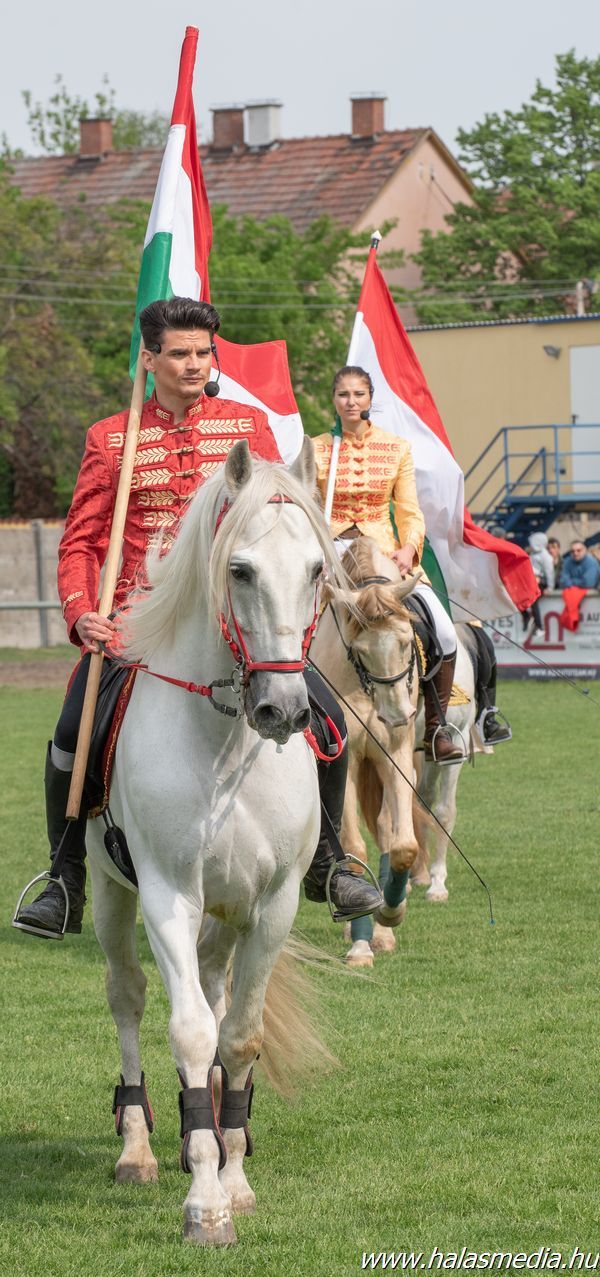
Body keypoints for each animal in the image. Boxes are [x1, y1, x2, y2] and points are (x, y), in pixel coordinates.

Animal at [84, 439, 343, 1246]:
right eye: (241, 569)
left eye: (317, 569)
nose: (283, 710)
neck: (225, 743)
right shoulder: (168, 895)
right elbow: (193, 1031)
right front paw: (204, 1204)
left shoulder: (272, 906)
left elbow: (240, 1036)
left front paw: (233, 1176)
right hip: (111, 894)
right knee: (129, 997)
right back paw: (138, 1146)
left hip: (224, 918)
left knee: (214, 989)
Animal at [310, 537, 477, 967]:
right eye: (359, 650)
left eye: (407, 642)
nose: (398, 716)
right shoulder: (350, 761)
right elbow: (352, 846)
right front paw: (360, 944)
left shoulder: (395, 756)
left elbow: (403, 845)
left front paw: (391, 911)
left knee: (411, 821)